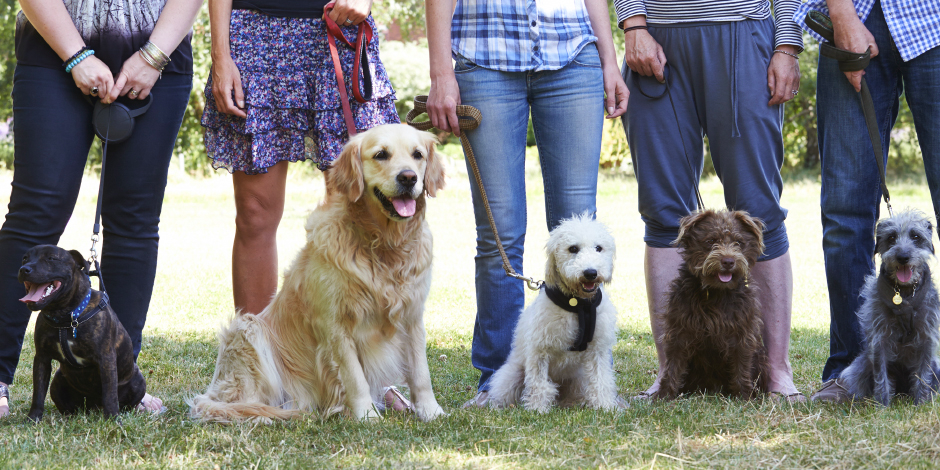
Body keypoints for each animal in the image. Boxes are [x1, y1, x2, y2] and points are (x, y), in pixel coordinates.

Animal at [21, 244, 146, 420]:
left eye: (51, 258)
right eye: (25, 258)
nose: (24, 269)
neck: (67, 317)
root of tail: (94, 406)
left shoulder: (106, 359)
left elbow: (110, 394)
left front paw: (113, 420)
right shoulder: (42, 358)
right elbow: (38, 392)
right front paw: (33, 418)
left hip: (138, 381)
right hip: (57, 381)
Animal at [488, 215, 620, 414]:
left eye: (599, 248)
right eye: (573, 248)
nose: (590, 273)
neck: (578, 305)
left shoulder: (598, 349)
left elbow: (600, 380)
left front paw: (604, 406)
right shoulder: (540, 350)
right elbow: (539, 384)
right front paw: (538, 409)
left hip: (579, 378)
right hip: (511, 375)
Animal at [652, 210, 772, 400]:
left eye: (739, 243)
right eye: (710, 241)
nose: (728, 261)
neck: (716, 292)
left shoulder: (742, 333)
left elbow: (741, 365)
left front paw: (745, 397)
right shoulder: (679, 330)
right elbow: (673, 366)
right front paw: (664, 396)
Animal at [840, 211, 940, 406]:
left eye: (916, 236)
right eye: (891, 237)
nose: (903, 257)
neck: (905, 293)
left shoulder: (927, 337)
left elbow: (923, 373)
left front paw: (920, 402)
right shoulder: (880, 338)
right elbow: (881, 375)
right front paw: (882, 405)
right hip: (859, 367)